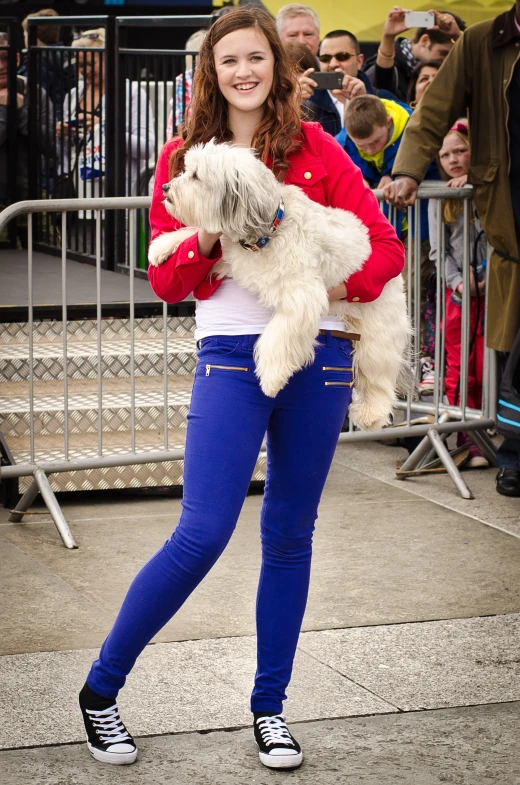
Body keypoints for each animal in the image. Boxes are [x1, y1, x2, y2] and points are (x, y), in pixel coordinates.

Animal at [148, 141, 412, 428]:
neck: (269, 230)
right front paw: (161, 247)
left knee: (378, 378)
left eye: (196, 176)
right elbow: (194, 234)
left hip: (377, 335)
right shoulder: (232, 257)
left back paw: (370, 413)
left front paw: (271, 378)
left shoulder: (303, 297)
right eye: (186, 169)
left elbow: (277, 336)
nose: (165, 188)